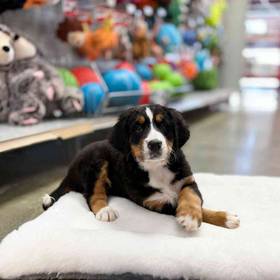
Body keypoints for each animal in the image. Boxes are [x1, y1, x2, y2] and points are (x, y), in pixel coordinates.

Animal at [42, 105, 240, 232]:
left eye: (164, 125)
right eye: (138, 128)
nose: (155, 144)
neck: (157, 168)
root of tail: (71, 168)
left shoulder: (187, 180)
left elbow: (193, 198)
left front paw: (220, 217)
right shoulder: (155, 202)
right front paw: (192, 218)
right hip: (97, 162)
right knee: (92, 194)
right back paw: (105, 210)